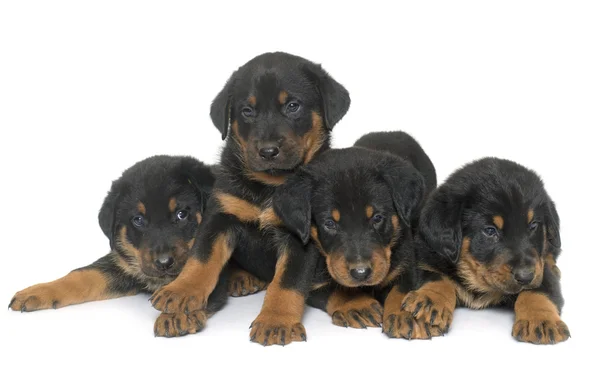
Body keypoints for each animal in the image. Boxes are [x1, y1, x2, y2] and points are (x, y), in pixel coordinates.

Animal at [9, 154, 230, 336]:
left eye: (182, 214)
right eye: (138, 220)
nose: (164, 262)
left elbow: (199, 280)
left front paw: (176, 312)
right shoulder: (122, 264)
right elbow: (84, 274)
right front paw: (38, 291)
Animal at [148, 51, 352, 340]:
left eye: (293, 106)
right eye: (247, 111)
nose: (268, 151)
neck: (269, 186)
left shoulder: (300, 237)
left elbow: (287, 282)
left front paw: (276, 321)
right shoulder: (221, 215)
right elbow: (201, 258)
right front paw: (181, 291)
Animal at [270, 130, 438, 342]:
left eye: (377, 218)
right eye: (329, 223)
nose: (361, 272)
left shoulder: (407, 261)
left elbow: (402, 289)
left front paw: (405, 316)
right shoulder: (314, 281)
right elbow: (335, 289)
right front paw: (355, 305)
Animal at [400, 157, 568, 344]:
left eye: (533, 226)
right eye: (490, 230)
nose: (525, 276)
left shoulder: (541, 270)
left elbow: (538, 291)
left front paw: (541, 320)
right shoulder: (426, 258)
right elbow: (437, 277)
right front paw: (430, 300)